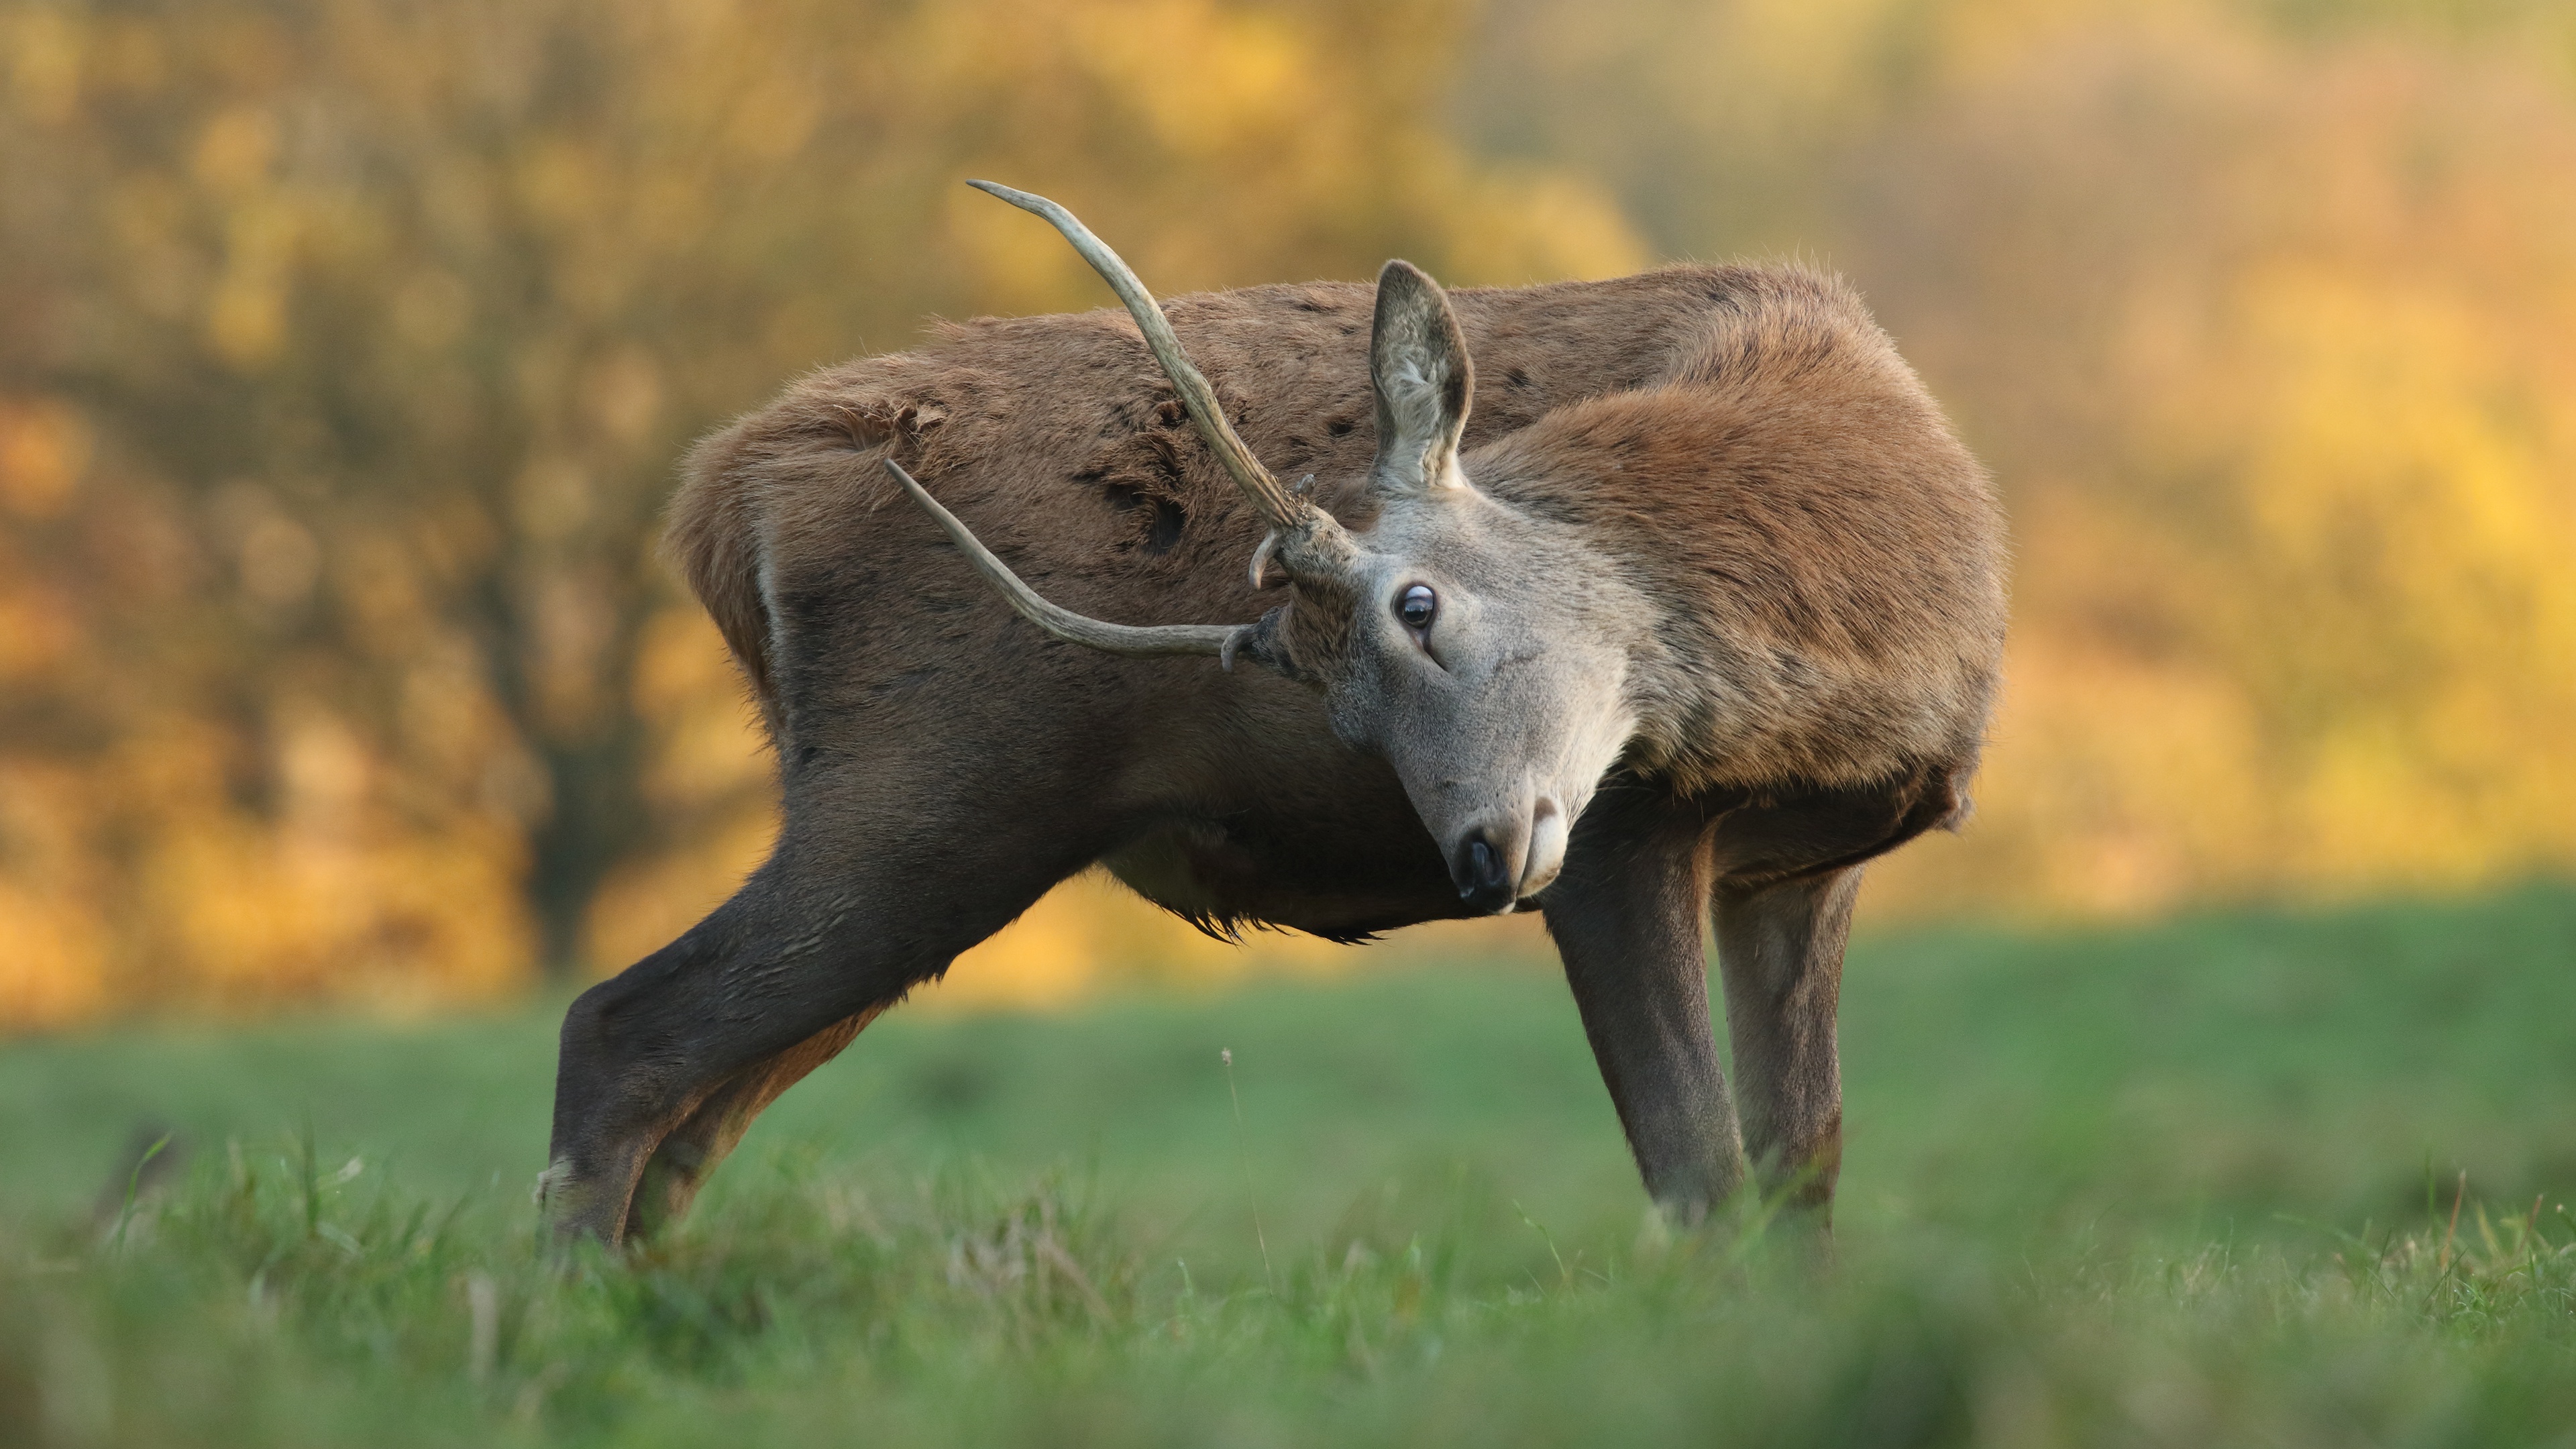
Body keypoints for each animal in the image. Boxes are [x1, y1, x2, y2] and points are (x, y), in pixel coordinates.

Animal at [533, 180, 1998, 1242]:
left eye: (1418, 607)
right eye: (1347, 711)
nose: (1476, 859)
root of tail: (721, 500)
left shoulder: (1798, 866)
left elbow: (1802, 1167)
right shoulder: (1622, 832)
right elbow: (1698, 1174)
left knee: (697, 1117)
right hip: (922, 793)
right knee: (619, 1031)